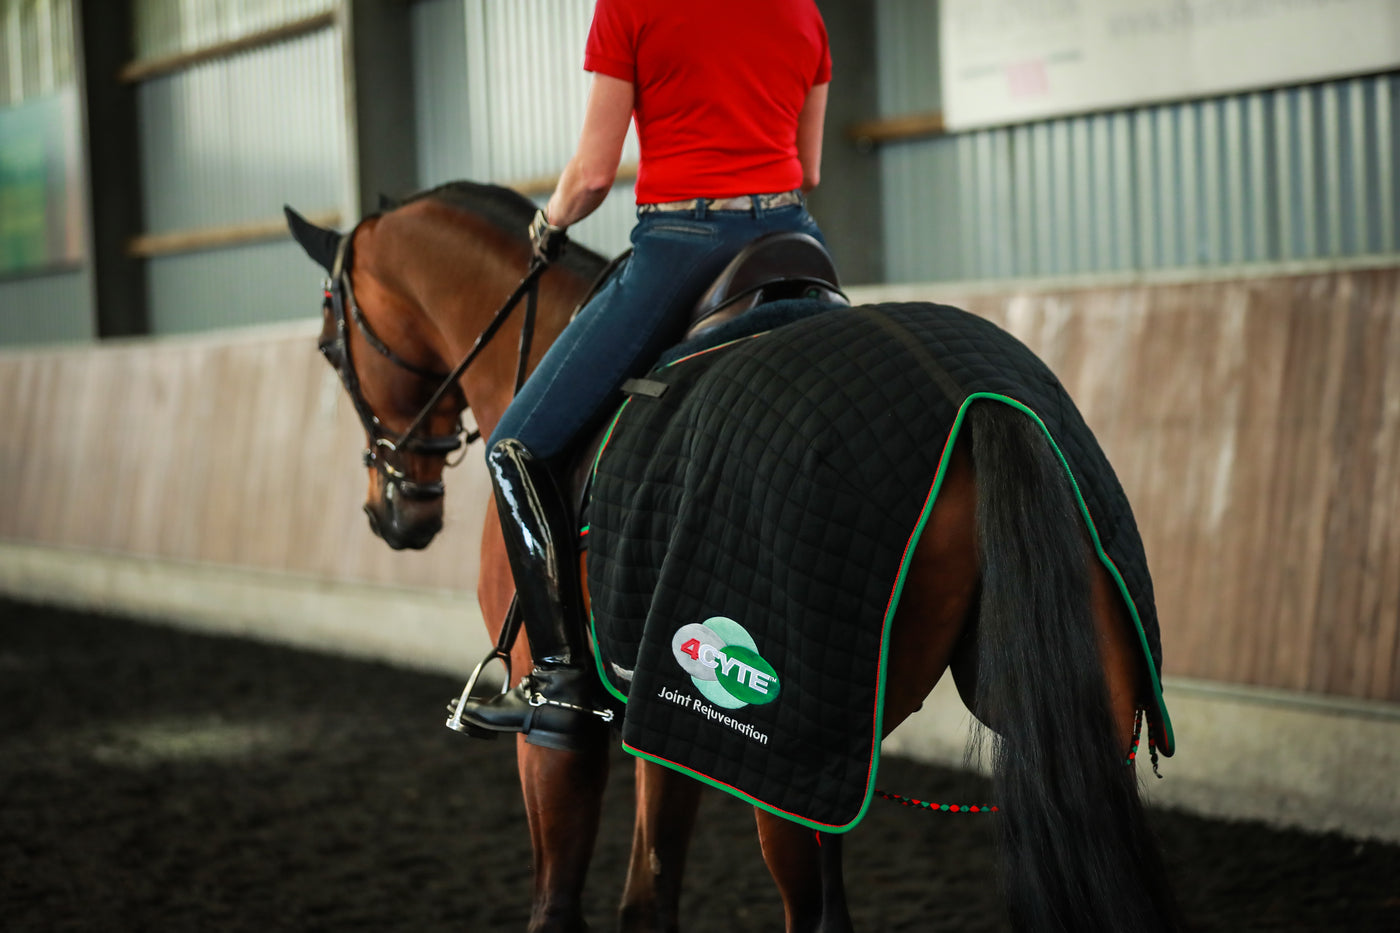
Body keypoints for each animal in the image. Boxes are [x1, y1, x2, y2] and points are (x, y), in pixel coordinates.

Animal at [285, 181, 1181, 933]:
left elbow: (558, 899)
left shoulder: (556, 722)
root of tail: (983, 403)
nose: (393, 512)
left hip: (783, 744)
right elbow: (648, 897)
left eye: (330, 348)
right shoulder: (662, 702)